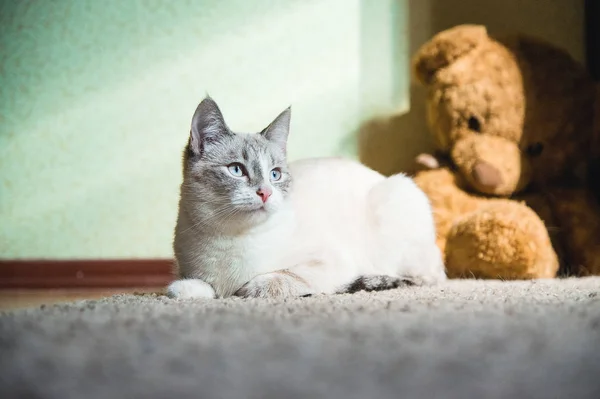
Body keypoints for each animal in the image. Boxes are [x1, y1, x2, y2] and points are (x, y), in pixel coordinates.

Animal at [164, 95, 446, 298]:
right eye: (236, 170)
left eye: (275, 174)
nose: (265, 192)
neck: (231, 240)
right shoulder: (192, 272)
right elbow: (187, 288)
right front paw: (190, 290)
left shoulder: (327, 263)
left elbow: (279, 279)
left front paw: (249, 289)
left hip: (398, 196)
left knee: (423, 277)